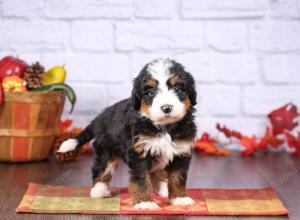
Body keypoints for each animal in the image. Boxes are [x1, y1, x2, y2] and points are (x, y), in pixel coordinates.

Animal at [59, 57, 198, 209]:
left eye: (178, 89)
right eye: (150, 92)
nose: (166, 108)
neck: (164, 126)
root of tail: (101, 116)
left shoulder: (181, 151)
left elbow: (178, 177)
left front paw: (179, 198)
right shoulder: (139, 152)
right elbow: (141, 180)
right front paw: (145, 201)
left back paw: (162, 188)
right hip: (106, 149)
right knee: (101, 167)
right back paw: (99, 190)